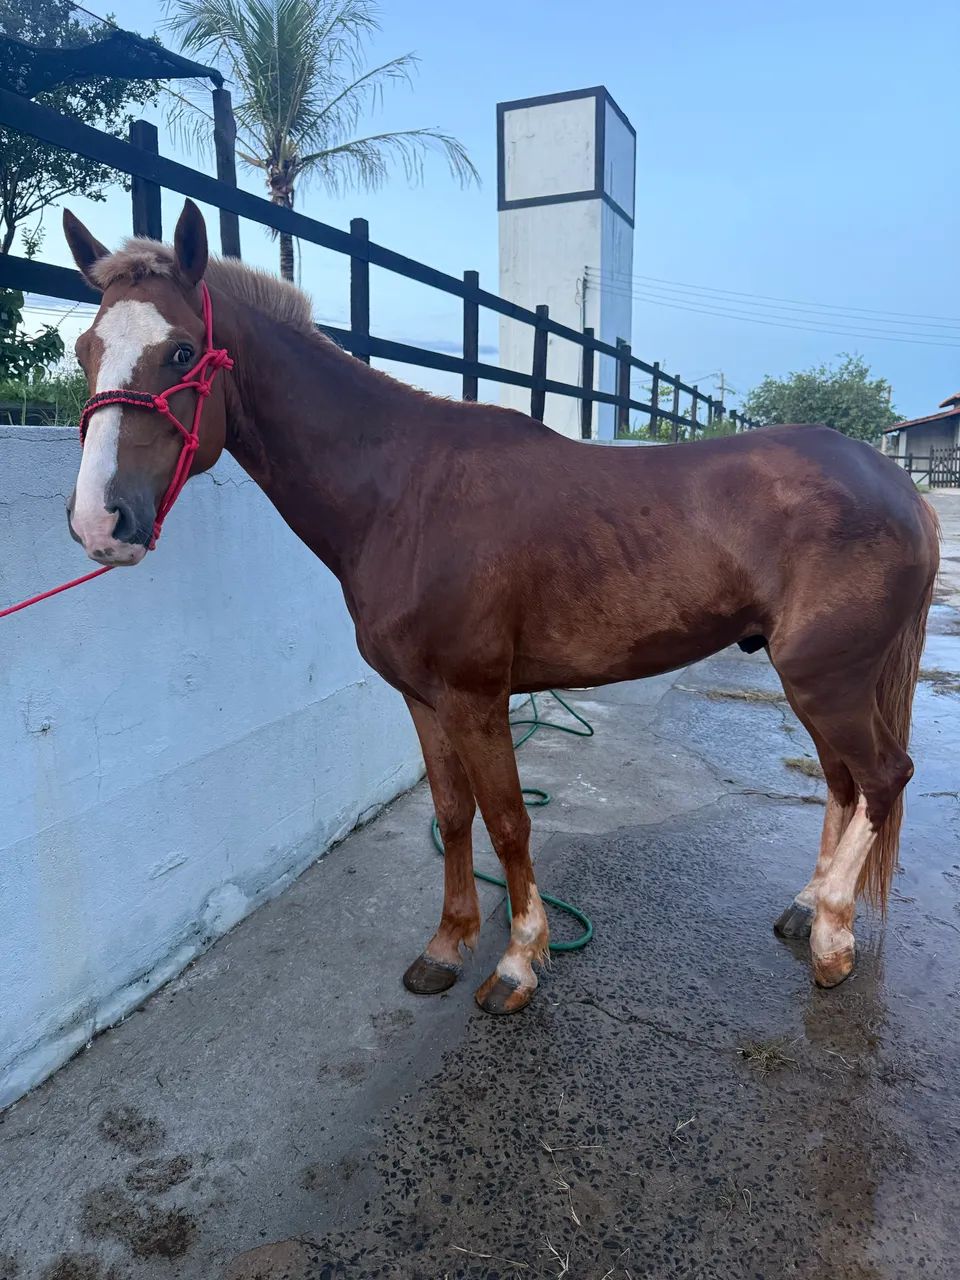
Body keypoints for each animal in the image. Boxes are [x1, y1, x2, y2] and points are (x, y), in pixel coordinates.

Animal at [61, 199, 940, 1016]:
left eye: (179, 351)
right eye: (86, 349)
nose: (101, 521)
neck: (400, 493)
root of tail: (895, 484)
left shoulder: (477, 697)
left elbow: (510, 820)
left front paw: (517, 962)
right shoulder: (423, 700)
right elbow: (455, 816)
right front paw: (446, 947)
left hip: (823, 678)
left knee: (882, 776)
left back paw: (833, 940)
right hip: (822, 682)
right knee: (843, 782)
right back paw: (807, 909)